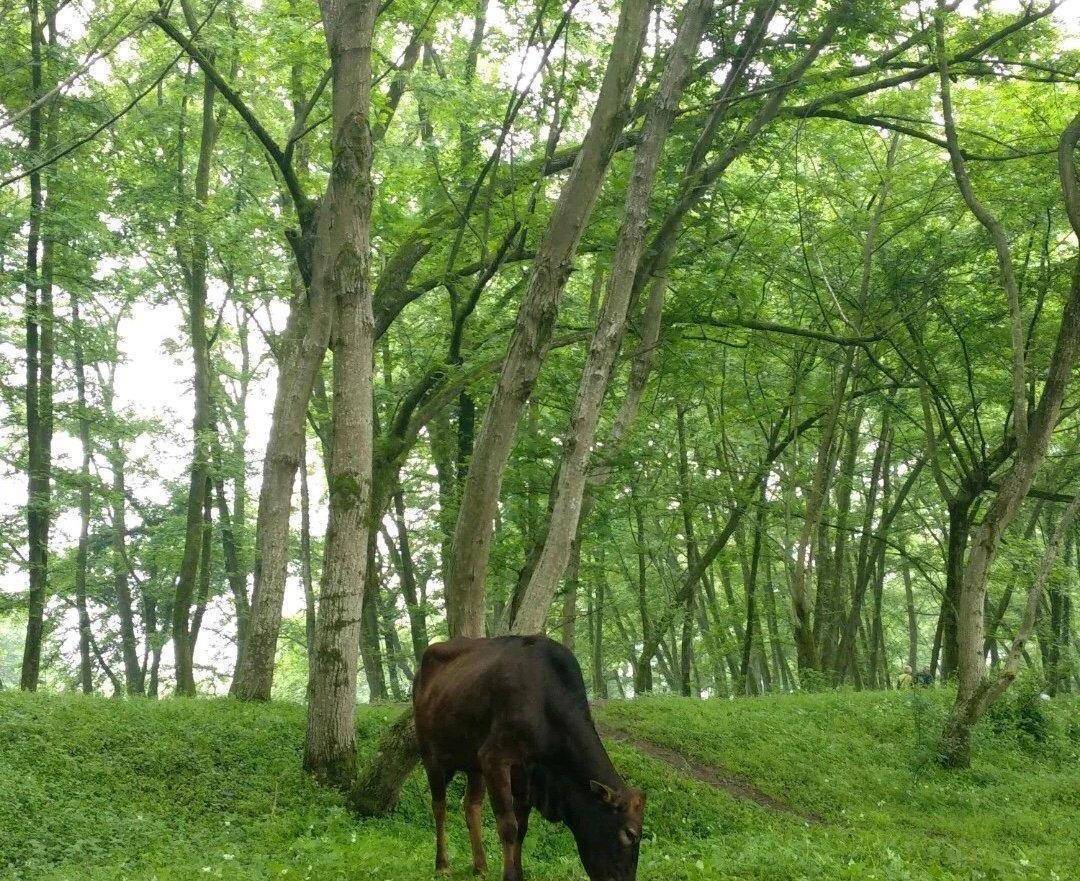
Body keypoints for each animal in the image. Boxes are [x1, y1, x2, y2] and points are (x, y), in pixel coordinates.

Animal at [412, 634, 643, 881]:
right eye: (630, 833)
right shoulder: (494, 759)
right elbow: (508, 826)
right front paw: (509, 875)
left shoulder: (525, 771)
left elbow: (522, 827)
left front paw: (519, 873)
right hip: (432, 757)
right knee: (439, 807)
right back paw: (442, 864)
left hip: (474, 766)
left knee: (471, 806)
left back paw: (480, 866)